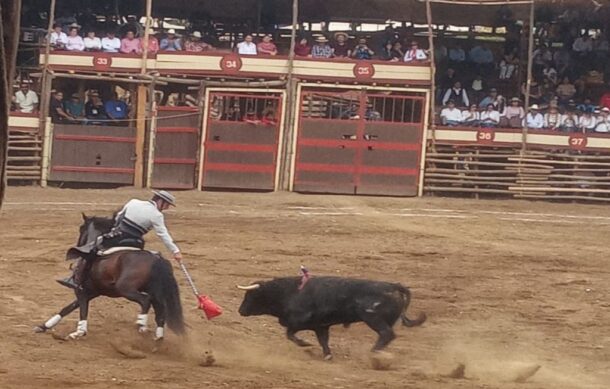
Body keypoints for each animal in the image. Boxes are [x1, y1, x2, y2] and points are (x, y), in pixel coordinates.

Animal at [33, 214, 183, 338]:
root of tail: (156, 259)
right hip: (156, 293)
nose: (79, 244)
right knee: (161, 311)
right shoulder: (93, 292)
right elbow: (68, 308)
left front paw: (79, 332)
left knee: (146, 301)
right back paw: (158, 339)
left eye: (81, 228)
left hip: (126, 289)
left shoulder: (81, 291)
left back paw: (141, 325)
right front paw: (43, 326)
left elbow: (82, 310)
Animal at [235, 276, 426, 358]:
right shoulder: (321, 326)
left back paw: (373, 353)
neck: (288, 292)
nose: (240, 310)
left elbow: (290, 334)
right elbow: (323, 341)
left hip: (374, 319)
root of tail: (394, 286)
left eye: (250, 296)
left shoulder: (298, 322)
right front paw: (327, 355)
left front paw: (305, 344)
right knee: (387, 336)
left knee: (387, 334)